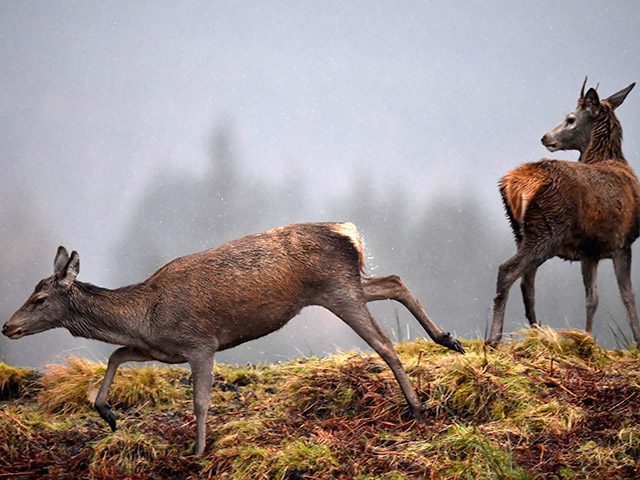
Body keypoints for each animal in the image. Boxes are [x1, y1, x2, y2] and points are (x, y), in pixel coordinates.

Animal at [1, 221, 464, 454]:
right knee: (393, 280)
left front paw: (197, 450)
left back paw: (418, 408)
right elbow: (116, 353)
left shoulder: (199, 343)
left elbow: (200, 401)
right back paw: (448, 339)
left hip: (337, 290)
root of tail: (348, 232)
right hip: (347, 285)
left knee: (384, 343)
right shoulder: (160, 350)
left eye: (39, 298)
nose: (8, 326)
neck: (145, 316)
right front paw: (109, 414)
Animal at [490, 79, 640, 348]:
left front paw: (587, 338)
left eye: (570, 119)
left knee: (527, 282)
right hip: (548, 227)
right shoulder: (622, 242)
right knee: (508, 270)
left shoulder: (590, 251)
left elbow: (592, 299)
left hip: (521, 231)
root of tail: (516, 183)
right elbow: (627, 296)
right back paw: (495, 338)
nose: (545, 137)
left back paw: (536, 331)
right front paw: (637, 342)